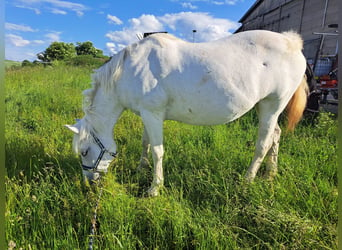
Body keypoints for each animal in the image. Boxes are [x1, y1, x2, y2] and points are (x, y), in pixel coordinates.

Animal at [65, 29, 308, 196]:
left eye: (85, 151)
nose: (90, 182)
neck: (128, 71)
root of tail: (292, 42)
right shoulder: (146, 114)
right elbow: (145, 143)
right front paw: (141, 169)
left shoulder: (153, 114)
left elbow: (157, 151)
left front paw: (154, 188)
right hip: (266, 108)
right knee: (275, 135)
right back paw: (270, 174)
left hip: (271, 106)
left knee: (263, 144)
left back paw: (247, 181)